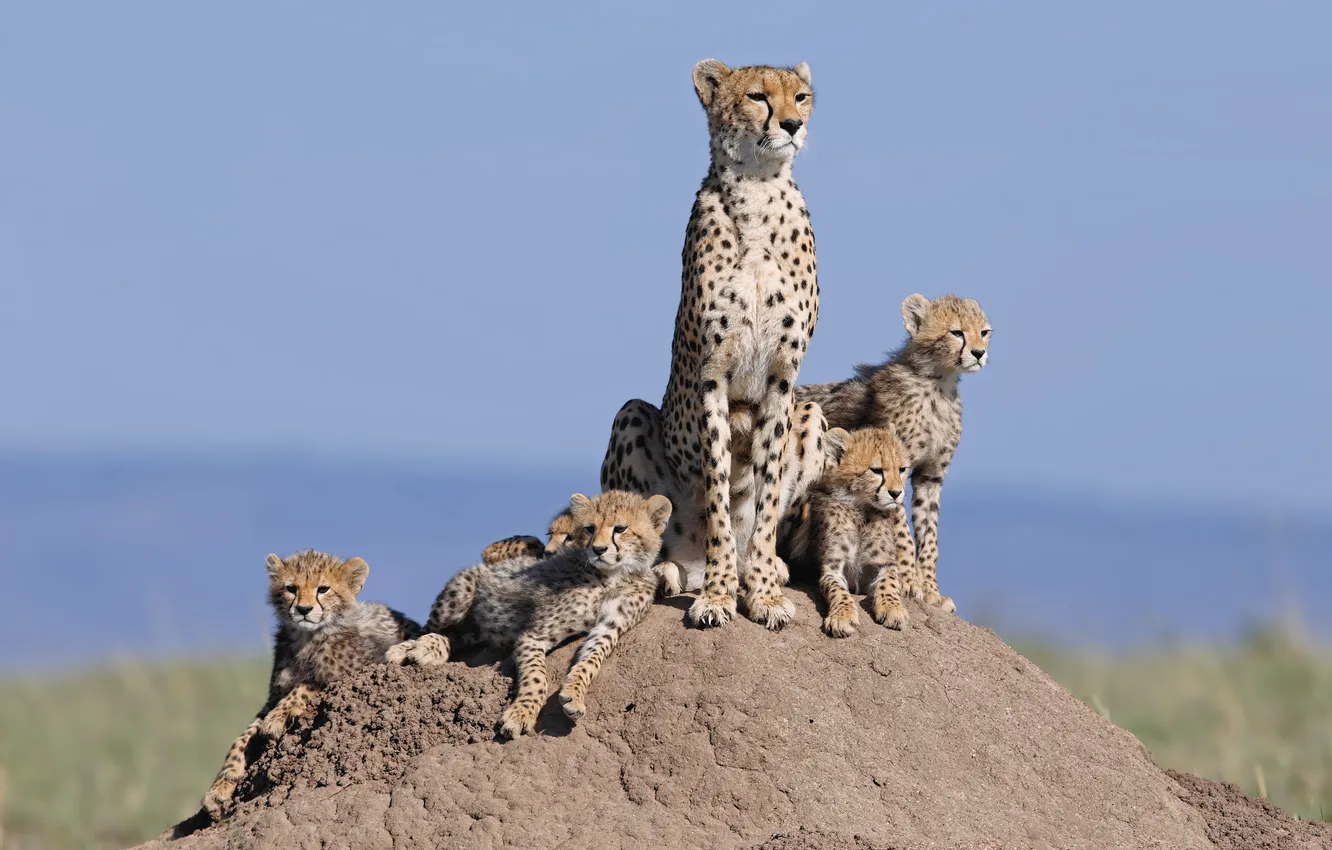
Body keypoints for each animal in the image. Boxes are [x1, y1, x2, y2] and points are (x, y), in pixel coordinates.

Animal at [200, 550, 420, 821]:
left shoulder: (363, 666)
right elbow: (242, 737)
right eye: (291, 588)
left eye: (323, 589)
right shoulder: (273, 695)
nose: (304, 609)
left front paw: (277, 718)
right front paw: (220, 785)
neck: (306, 637)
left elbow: (307, 684)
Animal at [387, 490, 672, 738]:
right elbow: (537, 677)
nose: (599, 549)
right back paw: (407, 649)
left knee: (456, 636)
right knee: (429, 628)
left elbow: (592, 660)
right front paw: (521, 714)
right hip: (462, 590)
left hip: (480, 630)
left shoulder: (610, 626)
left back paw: (431, 648)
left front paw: (574, 694)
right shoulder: (534, 635)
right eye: (589, 529)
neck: (613, 575)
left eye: (620, 528)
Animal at [599, 59, 823, 631]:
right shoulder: (711, 377)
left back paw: (762, 569)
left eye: (802, 96)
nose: (792, 125)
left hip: (812, 412)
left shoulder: (782, 382)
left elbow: (765, 496)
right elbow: (719, 491)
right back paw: (676, 571)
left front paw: (761, 591)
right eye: (758, 97)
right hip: (631, 414)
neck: (759, 191)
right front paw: (720, 595)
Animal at [779, 426, 916, 637]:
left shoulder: (886, 564)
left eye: (902, 469)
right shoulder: (832, 567)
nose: (896, 493)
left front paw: (892, 608)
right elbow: (838, 590)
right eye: (876, 470)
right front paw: (842, 616)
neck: (861, 511)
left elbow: (889, 584)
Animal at [795, 293, 991, 613]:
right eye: (956, 332)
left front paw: (931, 590)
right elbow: (901, 533)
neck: (938, 383)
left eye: (984, 332)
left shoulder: (930, 475)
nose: (978, 353)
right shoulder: (895, 468)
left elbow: (928, 534)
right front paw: (909, 582)